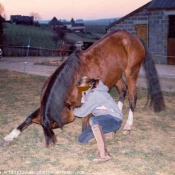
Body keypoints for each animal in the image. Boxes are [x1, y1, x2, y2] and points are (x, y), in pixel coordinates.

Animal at [4, 30, 165, 148]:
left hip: (131, 72)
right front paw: (10, 135)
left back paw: (128, 125)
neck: (72, 79)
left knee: (132, 96)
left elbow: (84, 124)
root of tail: (134, 37)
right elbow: (29, 117)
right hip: (116, 74)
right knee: (122, 90)